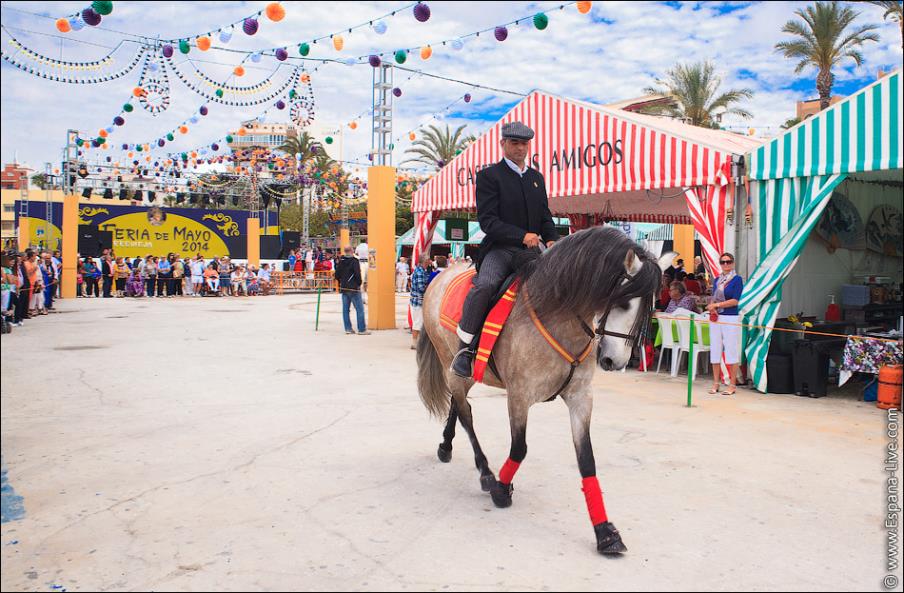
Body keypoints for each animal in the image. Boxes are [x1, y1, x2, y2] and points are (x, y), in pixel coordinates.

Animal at [420, 225, 668, 556]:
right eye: (624, 302)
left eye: (648, 308)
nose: (615, 361)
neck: (557, 314)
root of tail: (442, 275)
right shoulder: (519, 396)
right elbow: (519, 448)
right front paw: (501, 489)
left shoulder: (580, 398)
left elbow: (586, 459)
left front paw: (604, 531)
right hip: (451, 361)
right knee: (465, 412)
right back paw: (485, 473)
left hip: (467, 371)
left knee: (457, 406)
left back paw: (446, 446)